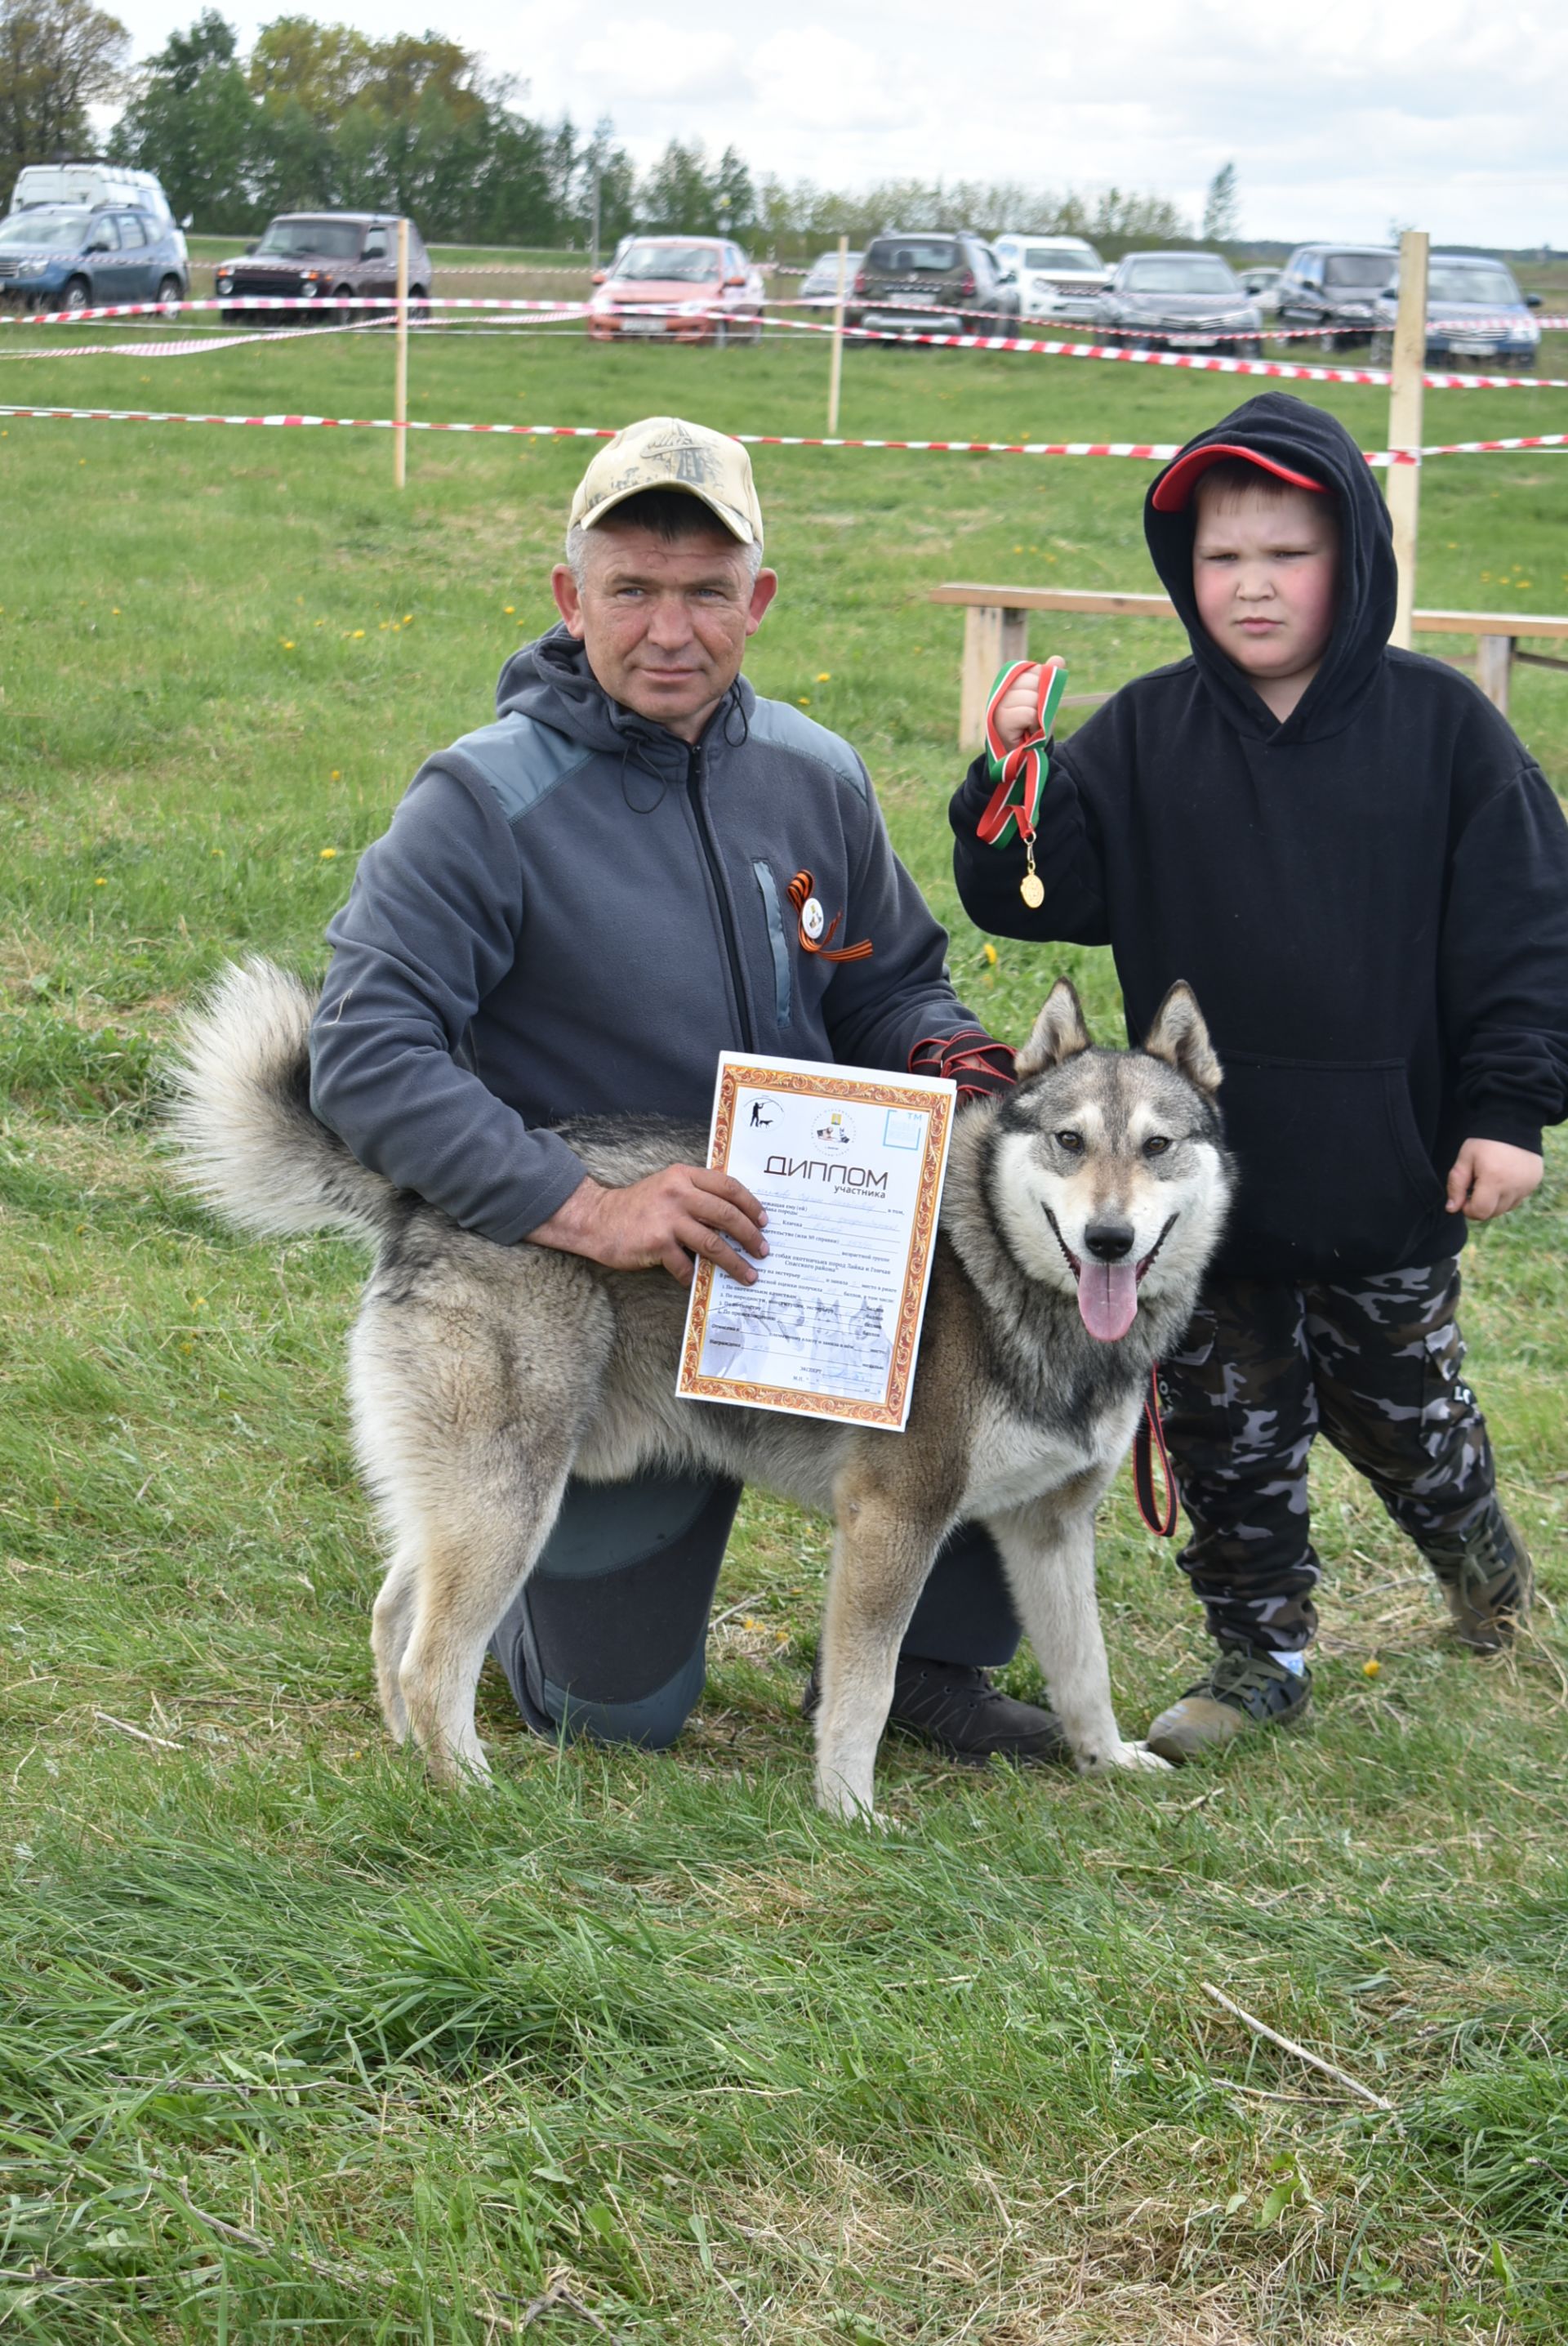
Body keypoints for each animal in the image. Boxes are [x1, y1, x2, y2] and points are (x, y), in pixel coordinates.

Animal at [174, 961, 1237, 1820]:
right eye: (1067, 1140)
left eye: (1155, 1147)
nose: (1109, 1239)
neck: (1009, 1278)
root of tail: (421, 1196)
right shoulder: (894, 1519)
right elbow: (864, 1693)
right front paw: (850, 1812)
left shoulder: (1049, 1528)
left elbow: (1084, 1670)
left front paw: (1108, 1762)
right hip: (510, 1507)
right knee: (435, 1660)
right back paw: (474, 1795)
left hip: (463, 1502)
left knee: (395, 1619)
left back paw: (410, 1767)